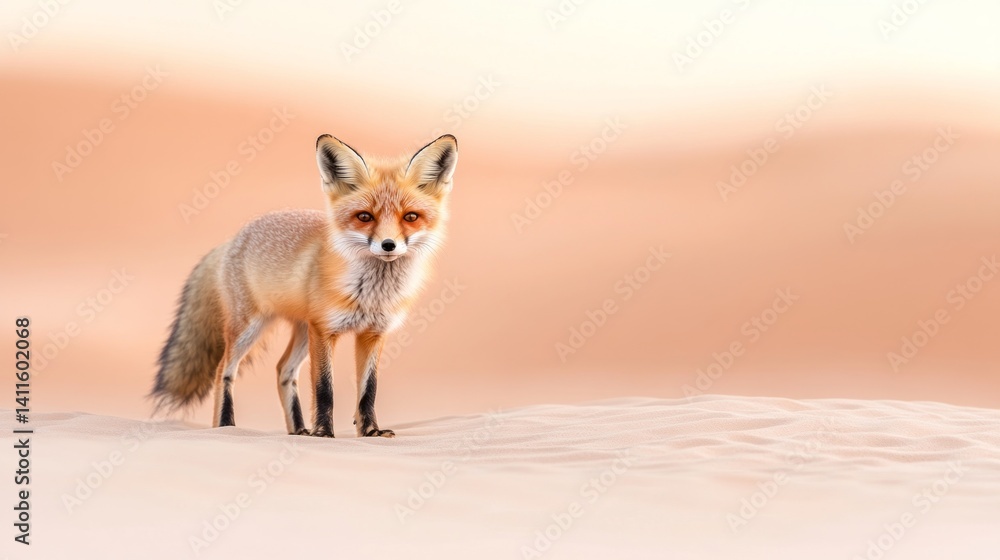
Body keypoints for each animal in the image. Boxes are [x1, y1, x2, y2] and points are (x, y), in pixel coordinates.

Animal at [150, 134, 458, 437]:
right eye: (364, 217)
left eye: (410, 217)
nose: (388, 245)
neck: (371, 294)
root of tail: (232, 240)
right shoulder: (323, 330)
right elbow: (324, 388)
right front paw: (323, 433)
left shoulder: (372, 334)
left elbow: (368, 390)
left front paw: (370, 431)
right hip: (249, 328)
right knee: (223, 370)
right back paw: (226, 427)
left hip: (300, 330)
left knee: (283, 370)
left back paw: (298, 430)